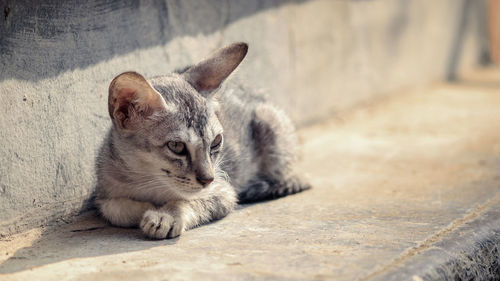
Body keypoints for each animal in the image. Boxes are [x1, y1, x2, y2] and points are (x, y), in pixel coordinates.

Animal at [95, 42, 310, 238]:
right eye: (176, 146)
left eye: (216, 142)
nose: (208, 179)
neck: (148, 181)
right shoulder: (105, 192)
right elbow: (115, 209)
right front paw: (147, 209)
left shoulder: (224, 191)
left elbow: (188, 201)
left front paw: (166, 216)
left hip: (269, 123)